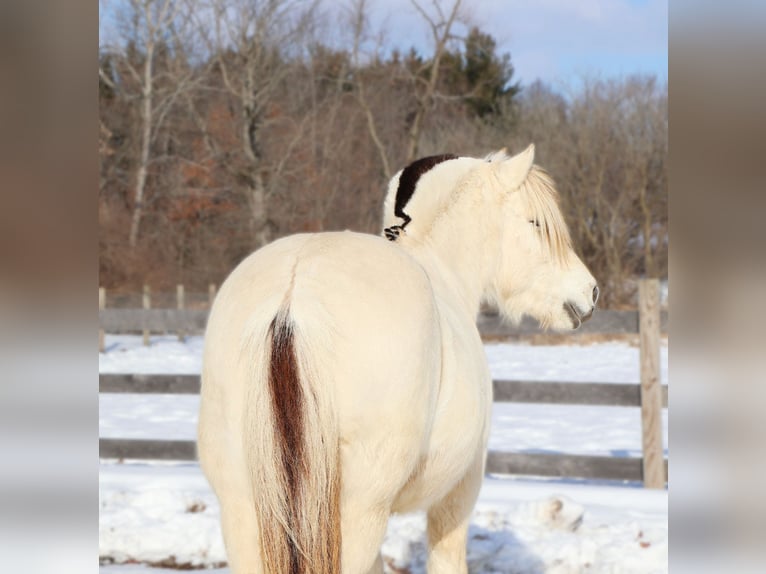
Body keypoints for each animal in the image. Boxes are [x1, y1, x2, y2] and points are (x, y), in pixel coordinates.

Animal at [197, 144, 598, 574]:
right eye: (536, 223)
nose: (590, 292)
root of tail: (294, 295)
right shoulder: (459, 492)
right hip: (358, 513)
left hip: (243, 509)